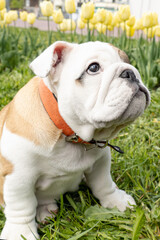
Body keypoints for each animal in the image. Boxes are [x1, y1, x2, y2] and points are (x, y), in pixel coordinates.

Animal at [0, 41, 150, 238]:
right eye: (93, 68)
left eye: (128, 61)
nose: (130, 72)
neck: (69, 133)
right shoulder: (18, 176)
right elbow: (22, 207)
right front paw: (20, 233)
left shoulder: (101, 160)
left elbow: (103, 182)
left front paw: (115, 200)